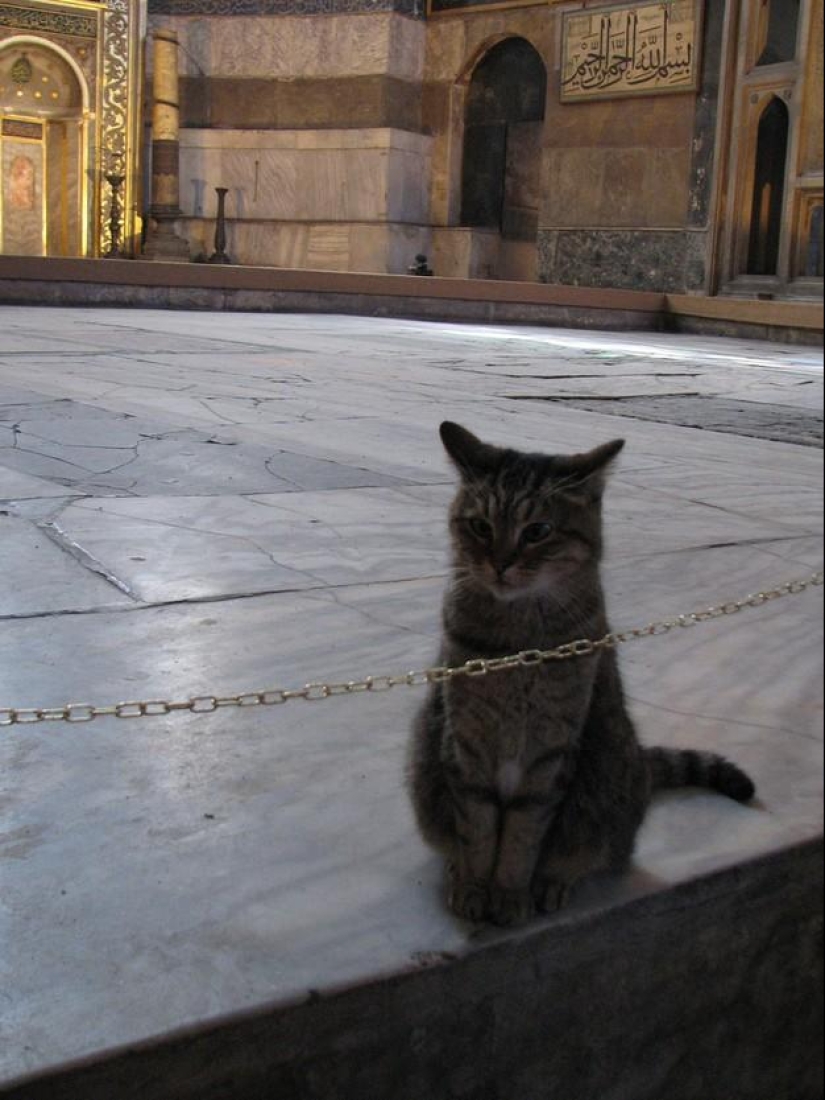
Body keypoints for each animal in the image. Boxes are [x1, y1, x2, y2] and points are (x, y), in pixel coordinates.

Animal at [407, 422, 756, 928]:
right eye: (480, 526)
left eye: (538, 531)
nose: (500, 563)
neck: (518, 644)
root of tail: (640, 764)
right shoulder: (466, 743)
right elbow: (477, 830)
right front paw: (473, 886)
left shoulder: (548, 753)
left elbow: (522, 838)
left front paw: (509, 895)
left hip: (606, 781)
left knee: (597, 853)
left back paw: (554, 883)